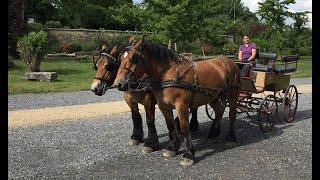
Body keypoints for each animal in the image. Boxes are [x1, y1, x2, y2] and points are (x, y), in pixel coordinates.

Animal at [112, 38, 240, 165]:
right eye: (120, 58)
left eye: (133, 58)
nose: (118, 84)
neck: (170, 74)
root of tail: (229, 61)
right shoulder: (163, 106)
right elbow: (170, 125)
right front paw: (172, 148)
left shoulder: (181, 105)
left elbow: (184, 128)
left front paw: (189, 155)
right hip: (213, 96)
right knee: (219, 110)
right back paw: (214, 132)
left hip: (233, 95)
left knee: (232, 114)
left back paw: (231, 138)